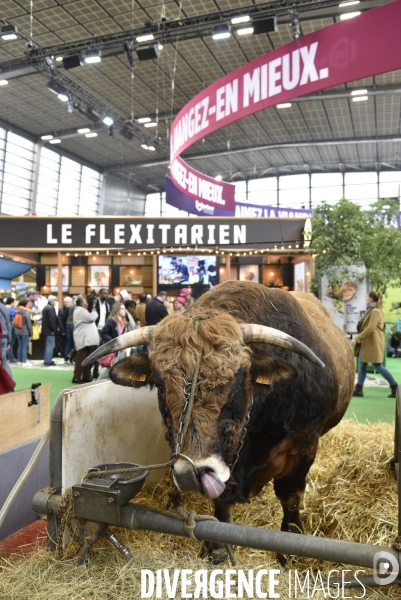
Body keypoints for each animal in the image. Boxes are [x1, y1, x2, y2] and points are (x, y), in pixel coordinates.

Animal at [84, 282, 354, 564]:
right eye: (160, 384)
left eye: (236, 381)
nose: (190, 474)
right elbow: (222, 502)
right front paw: (218, 548)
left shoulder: (304, 445)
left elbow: (290, 497)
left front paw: (289, 550)